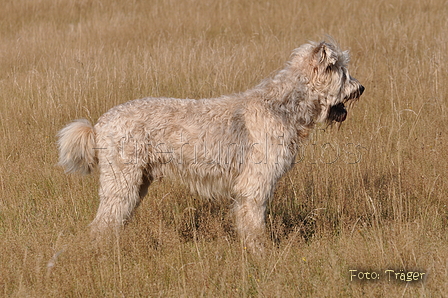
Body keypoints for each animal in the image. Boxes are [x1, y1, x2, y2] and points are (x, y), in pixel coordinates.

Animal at [57, 40, 364, 253]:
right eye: (342, 71)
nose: (361, 89)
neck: (283, 105)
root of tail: (99, 125)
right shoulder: (255, 185)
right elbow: (254, 224)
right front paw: (261, 254)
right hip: (121, 182)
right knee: (102, 225)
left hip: (135, 183)